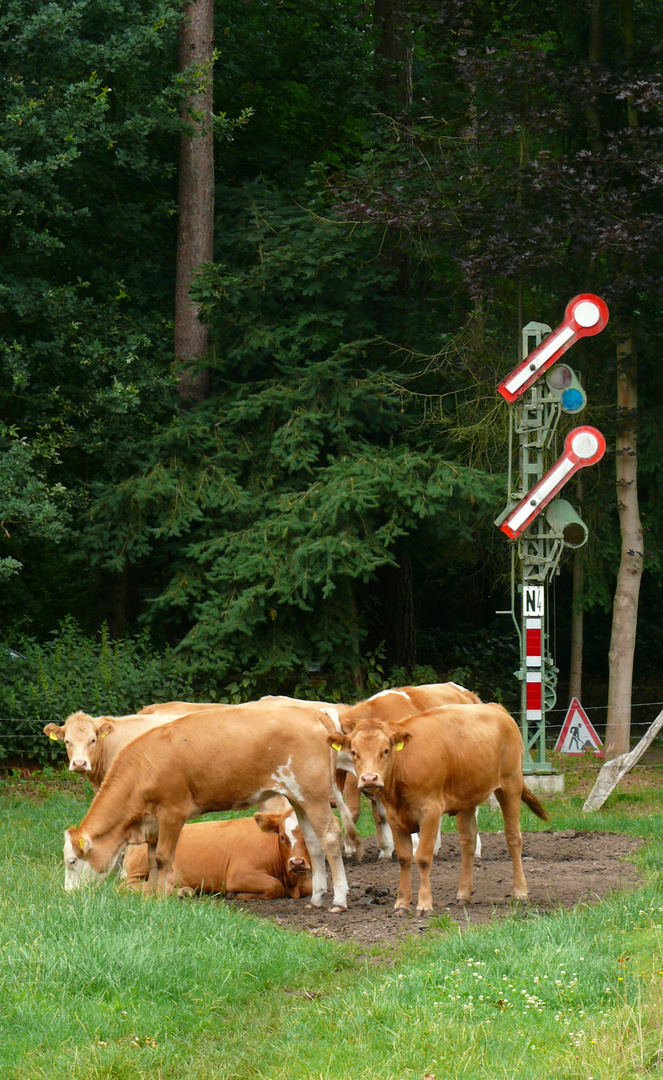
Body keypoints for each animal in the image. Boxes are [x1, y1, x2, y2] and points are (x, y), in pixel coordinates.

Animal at [65, 704, 349, 915]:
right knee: (313, 841)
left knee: (330, 836)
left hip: (314, 795)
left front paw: (161, 899)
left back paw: (339, 900)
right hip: (299, 798)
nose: (68, 895)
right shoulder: (152, 823)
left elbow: (164, 858)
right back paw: (316, 898)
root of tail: (312, 713)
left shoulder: (172, 813)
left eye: (72, 861)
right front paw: (151, 898)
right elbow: (152, 859)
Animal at [328, 699, 550, 911]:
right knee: (468, 842)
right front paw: (402, 904)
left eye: (386, 751)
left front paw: (424, 904)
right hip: (467, 796)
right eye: (354, 752)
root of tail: (496, 708)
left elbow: (423, 857)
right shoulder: (394, 816)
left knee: (513, 837)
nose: (369, 778)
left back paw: (520, 892)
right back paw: (463, 894)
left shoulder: (431, 811)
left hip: (510, 785)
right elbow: (404, 859)